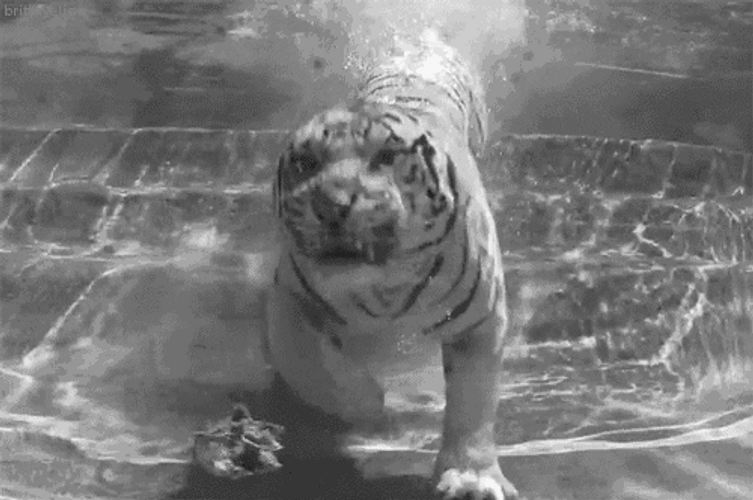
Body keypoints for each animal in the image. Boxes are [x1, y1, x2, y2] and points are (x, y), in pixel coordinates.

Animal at [265, 27, 518, 500]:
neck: (385, 283)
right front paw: (368, 408)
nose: (332, 205)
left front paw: (471, 478)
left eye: (385, 157)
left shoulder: (480, 319)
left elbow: (472, 403)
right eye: (307, 162)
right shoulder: (288, 301)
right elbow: (317, 370)